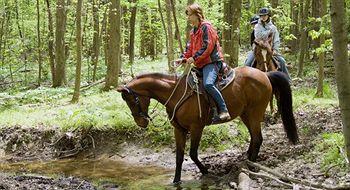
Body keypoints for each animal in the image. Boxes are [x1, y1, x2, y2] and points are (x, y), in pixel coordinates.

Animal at [117, 67, 298, 184]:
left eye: (132, 100)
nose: (141, 123)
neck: (175, 93)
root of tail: (265, 74)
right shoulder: (179, 129)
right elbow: (179, 156)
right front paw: (176, 180)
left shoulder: (196, 127)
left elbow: (193, 153)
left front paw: (205, 171)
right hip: (245, 114)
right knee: (254, 138)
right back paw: (247, 160)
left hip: (254, 113)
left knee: (258, 138)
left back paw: (251, 166)